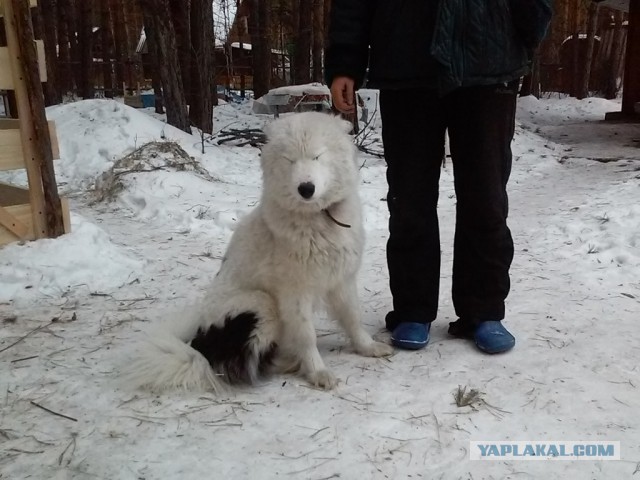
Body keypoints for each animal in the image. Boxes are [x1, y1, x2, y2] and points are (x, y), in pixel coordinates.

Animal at [124, 113, 392, 394]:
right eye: (290, 159)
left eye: (318, 156)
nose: (305, 188)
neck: (318, 218)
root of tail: (200, 347)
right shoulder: (294, 294)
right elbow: (307, 336)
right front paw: (318, 372)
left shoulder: (342, 279)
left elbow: (352, 318)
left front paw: (368, 347)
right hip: (260, 304)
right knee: (249, 362)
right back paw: (289, 362)